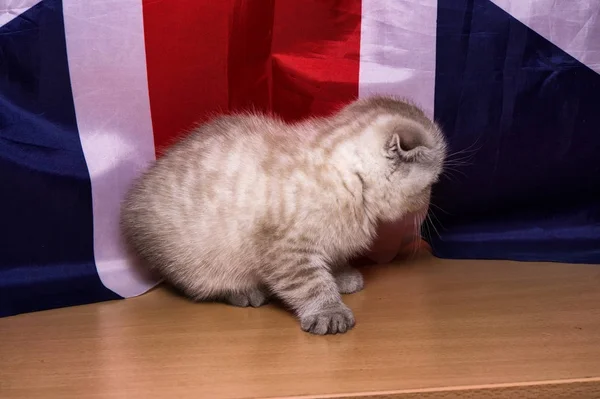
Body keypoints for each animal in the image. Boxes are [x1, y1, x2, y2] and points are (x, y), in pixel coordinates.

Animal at [120, 95, 446, 336]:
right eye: (430, 184)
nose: (429, 201)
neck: (349, 181)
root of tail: (132, 203)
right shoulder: (286, 250)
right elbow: (311, 282)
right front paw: (328, 310)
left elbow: (332, 259)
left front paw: (341, 275)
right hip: (197, 257)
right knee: (197, 285)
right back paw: (244, 292)